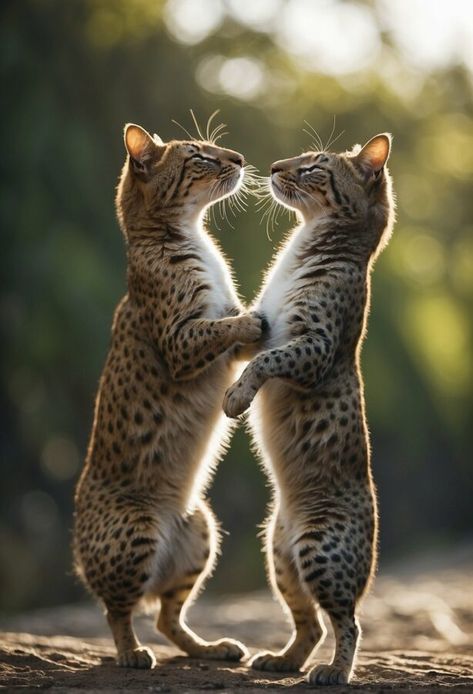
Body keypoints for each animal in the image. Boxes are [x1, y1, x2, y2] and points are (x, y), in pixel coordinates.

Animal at [75, 123, 264, 668]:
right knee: (118, 611)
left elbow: (234, 327)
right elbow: (222, 325)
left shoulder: (226, 351)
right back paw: (132, 653)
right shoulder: (181, 341)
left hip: (200, 527)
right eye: (199, 156)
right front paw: (252, 317)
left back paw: (211, 647)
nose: (238, 157)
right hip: (137, 528)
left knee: (165, 614)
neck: (192, 234)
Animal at [223, 135, 392, 684]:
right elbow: (248, 335)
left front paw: (237, 397)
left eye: (314, 167)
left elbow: (267, 361)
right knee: (311, 624)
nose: (276, 166)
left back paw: (335, 672)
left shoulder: (313, 346)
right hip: (279, 555)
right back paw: (282, 661)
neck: (304, 245)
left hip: (321, 550)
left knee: (349, 623)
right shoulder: (264, 322)